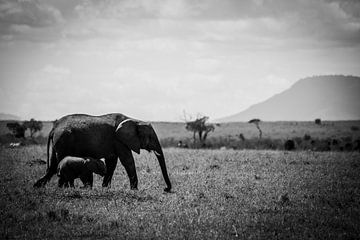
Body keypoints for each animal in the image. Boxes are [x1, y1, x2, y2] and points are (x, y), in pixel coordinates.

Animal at [33, 113, 172, 192]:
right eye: (151, 137)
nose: (166, 189)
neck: (135, 120)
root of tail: (54, 128)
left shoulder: (115, 143)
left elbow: (112, 162)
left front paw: (105, 188)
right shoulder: (119, 140)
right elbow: (127, 161)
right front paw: (135, 190)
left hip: (58, 142)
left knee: (52, 166)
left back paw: (37, 186)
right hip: (63, 140)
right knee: (58, 162)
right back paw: (64, 188)